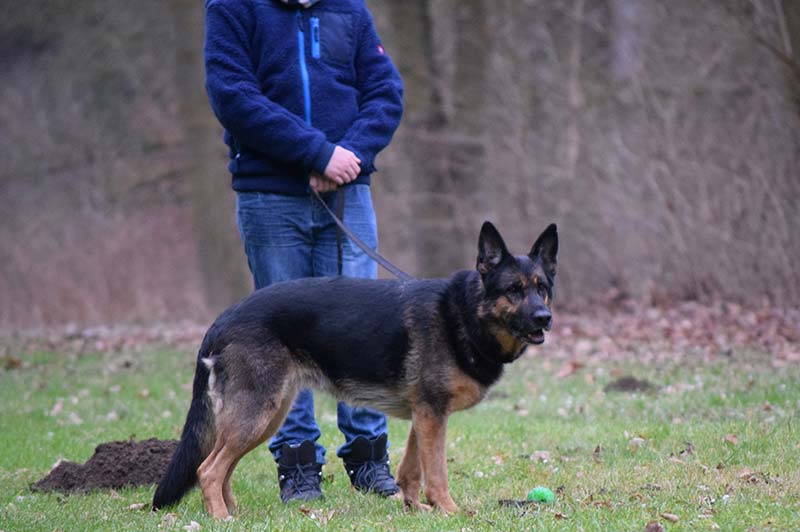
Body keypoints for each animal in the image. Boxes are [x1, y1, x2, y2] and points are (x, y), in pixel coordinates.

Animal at [153, 220, 560, 516]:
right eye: (513, 289)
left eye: (541, 287)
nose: (545, 318)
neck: (464, 313)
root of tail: (223, 319)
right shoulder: (432, 415)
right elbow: (436, 473)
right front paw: (449, 512)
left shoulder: (424, 415)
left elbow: (411, 470)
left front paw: (415, 509)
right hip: (257, 415)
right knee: (207, 469)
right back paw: (221, 518)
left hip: (266, 416)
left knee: (220, 465)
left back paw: (231, 512)